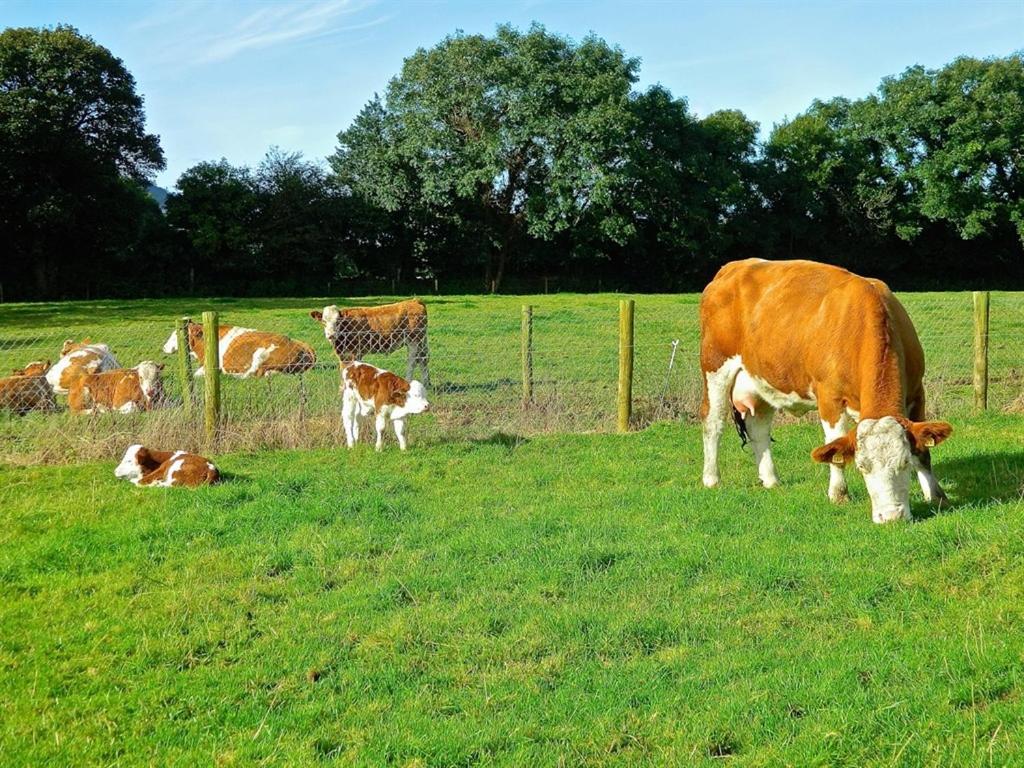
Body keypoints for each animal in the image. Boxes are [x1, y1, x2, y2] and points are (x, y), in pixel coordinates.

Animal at [160, 319, 315, 378]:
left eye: (176, 333)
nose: (164, 347)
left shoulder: (209, 366)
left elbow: (194, 375)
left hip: (259, 355)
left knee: (253, 374)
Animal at [696, 259, 950, 524]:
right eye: (861, 467)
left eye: (905, 462)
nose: (891, 516)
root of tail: (733, 267)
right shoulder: (829, 397)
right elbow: (834, 446)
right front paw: (839, 495)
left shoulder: (917, 392)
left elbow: (924, 452)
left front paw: (936, 495)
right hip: (714, 368)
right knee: (713, 422)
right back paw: (712, 479)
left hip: (761, 381)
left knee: (759, 429)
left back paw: (771, 480)